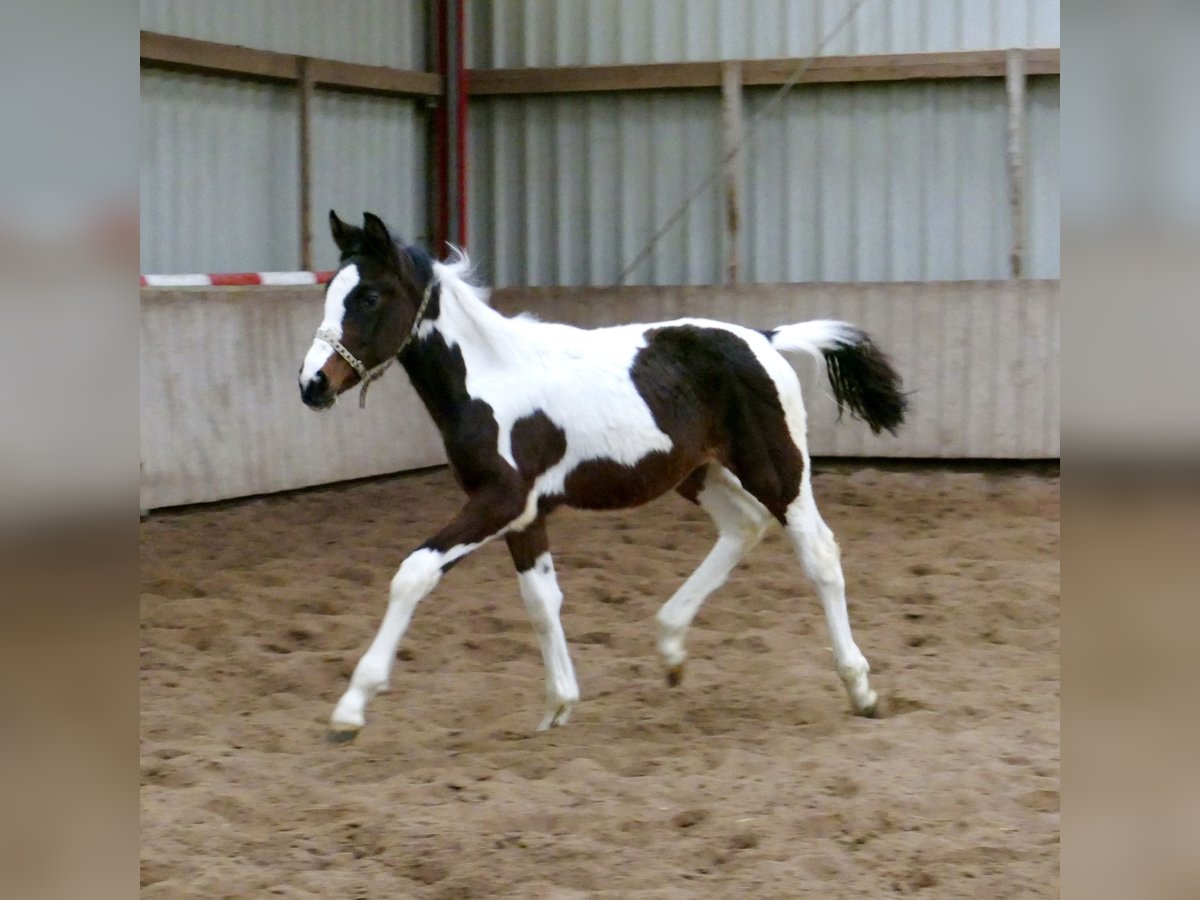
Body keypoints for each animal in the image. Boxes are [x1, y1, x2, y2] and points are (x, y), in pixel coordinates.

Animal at [302, 213, 907, 748]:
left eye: (369, 297)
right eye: (331, 291)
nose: (312, 385)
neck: (491, 378)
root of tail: (764, 338)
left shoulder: (499, 501)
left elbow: (413, 574)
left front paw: (350, 709)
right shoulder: (525, 513)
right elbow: (541, 600)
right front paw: (558, 706)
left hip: (777, 470)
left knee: (819, 553)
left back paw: (861, 689)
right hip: (700, 473)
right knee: (744, 527)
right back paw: (671, 649)